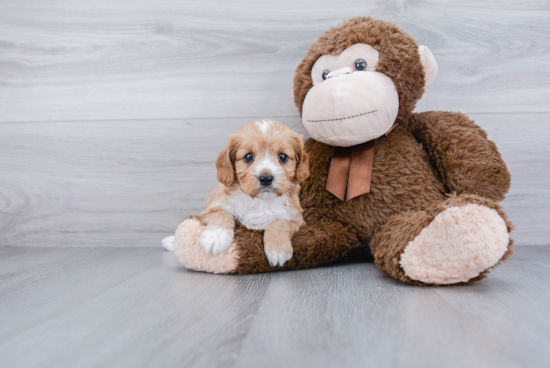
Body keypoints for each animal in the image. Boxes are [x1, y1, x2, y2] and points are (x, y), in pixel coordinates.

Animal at [199, 119, 312, 266]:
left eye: (283, 157)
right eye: (248, 157)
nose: (266, 178)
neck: (261, 201)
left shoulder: (296, 220)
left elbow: (278, 222)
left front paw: (278, 249)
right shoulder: (209, 210)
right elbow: (222, 213)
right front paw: (216, 237)